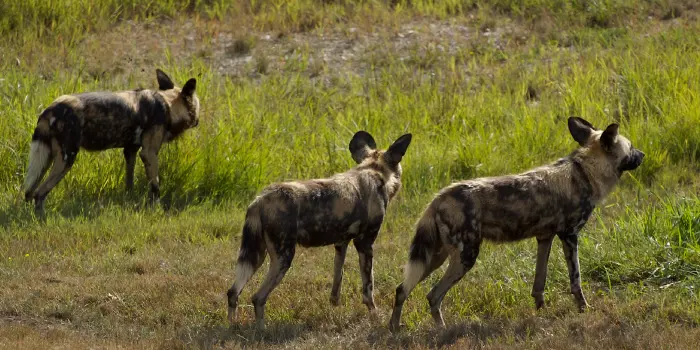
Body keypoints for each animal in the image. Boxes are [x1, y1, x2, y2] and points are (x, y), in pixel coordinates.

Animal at [21, 69, 200, 215]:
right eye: (198, 107)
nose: (198, 121)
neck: (167, 104)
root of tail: (49, 110)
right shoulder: (149, 153)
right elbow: (155, 186)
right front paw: (156, 209)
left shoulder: (131, 151)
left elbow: (129, 182)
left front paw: (129, 200)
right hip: (66, 159)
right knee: (39, 193)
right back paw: (42, 219)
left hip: (45, 159)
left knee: (29, 192)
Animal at [227, 131, 412, 328]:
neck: (372, 169)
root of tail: (259, 200)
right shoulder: (365, 244)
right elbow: (368, 287)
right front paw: (375, 315)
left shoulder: (341, 243)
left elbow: (338, 277)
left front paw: (335, 305)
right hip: (282, 258)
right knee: (257, 297)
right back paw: (262, 329)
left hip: (256, 255)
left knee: (233, 292)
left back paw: (232, 325)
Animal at [388, 117, 644, 330]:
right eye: (631, 147)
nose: (642, 154)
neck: (586, 172)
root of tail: (438, 198)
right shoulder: (570, 236)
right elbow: (576, 281)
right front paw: (584, 309)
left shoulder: (545, 238)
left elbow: (539, 282)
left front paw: (540, 310)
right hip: (465, 257)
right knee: (433, 295)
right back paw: (442, 331)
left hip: (434, 258)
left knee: (402, 289)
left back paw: (395, 329)